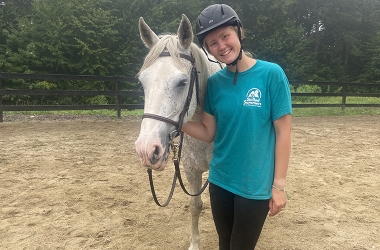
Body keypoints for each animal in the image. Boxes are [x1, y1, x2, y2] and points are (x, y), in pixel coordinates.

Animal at [135, 15, 221, 250]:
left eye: (182, 82)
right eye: (142, 82)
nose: (147, 149)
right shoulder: (191, 170)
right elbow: (195, 205)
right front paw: (194, 244)